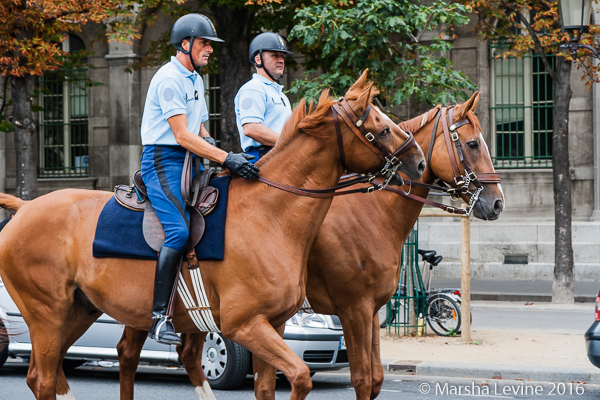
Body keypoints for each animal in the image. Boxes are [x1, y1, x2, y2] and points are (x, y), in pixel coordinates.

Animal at [0, 72, 426, 400]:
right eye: (379, 128)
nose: (418, 161)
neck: (271, 213)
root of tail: (25, 207)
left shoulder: (277, 323)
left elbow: (272, 386)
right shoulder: (247, 325)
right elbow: (303, 376)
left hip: (78, 312)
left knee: (61, 372)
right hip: (48, 314)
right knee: (43, 378)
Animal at [116, 91, 502, 400]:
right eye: (472, 144)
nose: (497, 203)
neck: (371, 212)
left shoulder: (370, 310)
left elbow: (375, 379)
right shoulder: (354, 308)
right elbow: (363, 379)